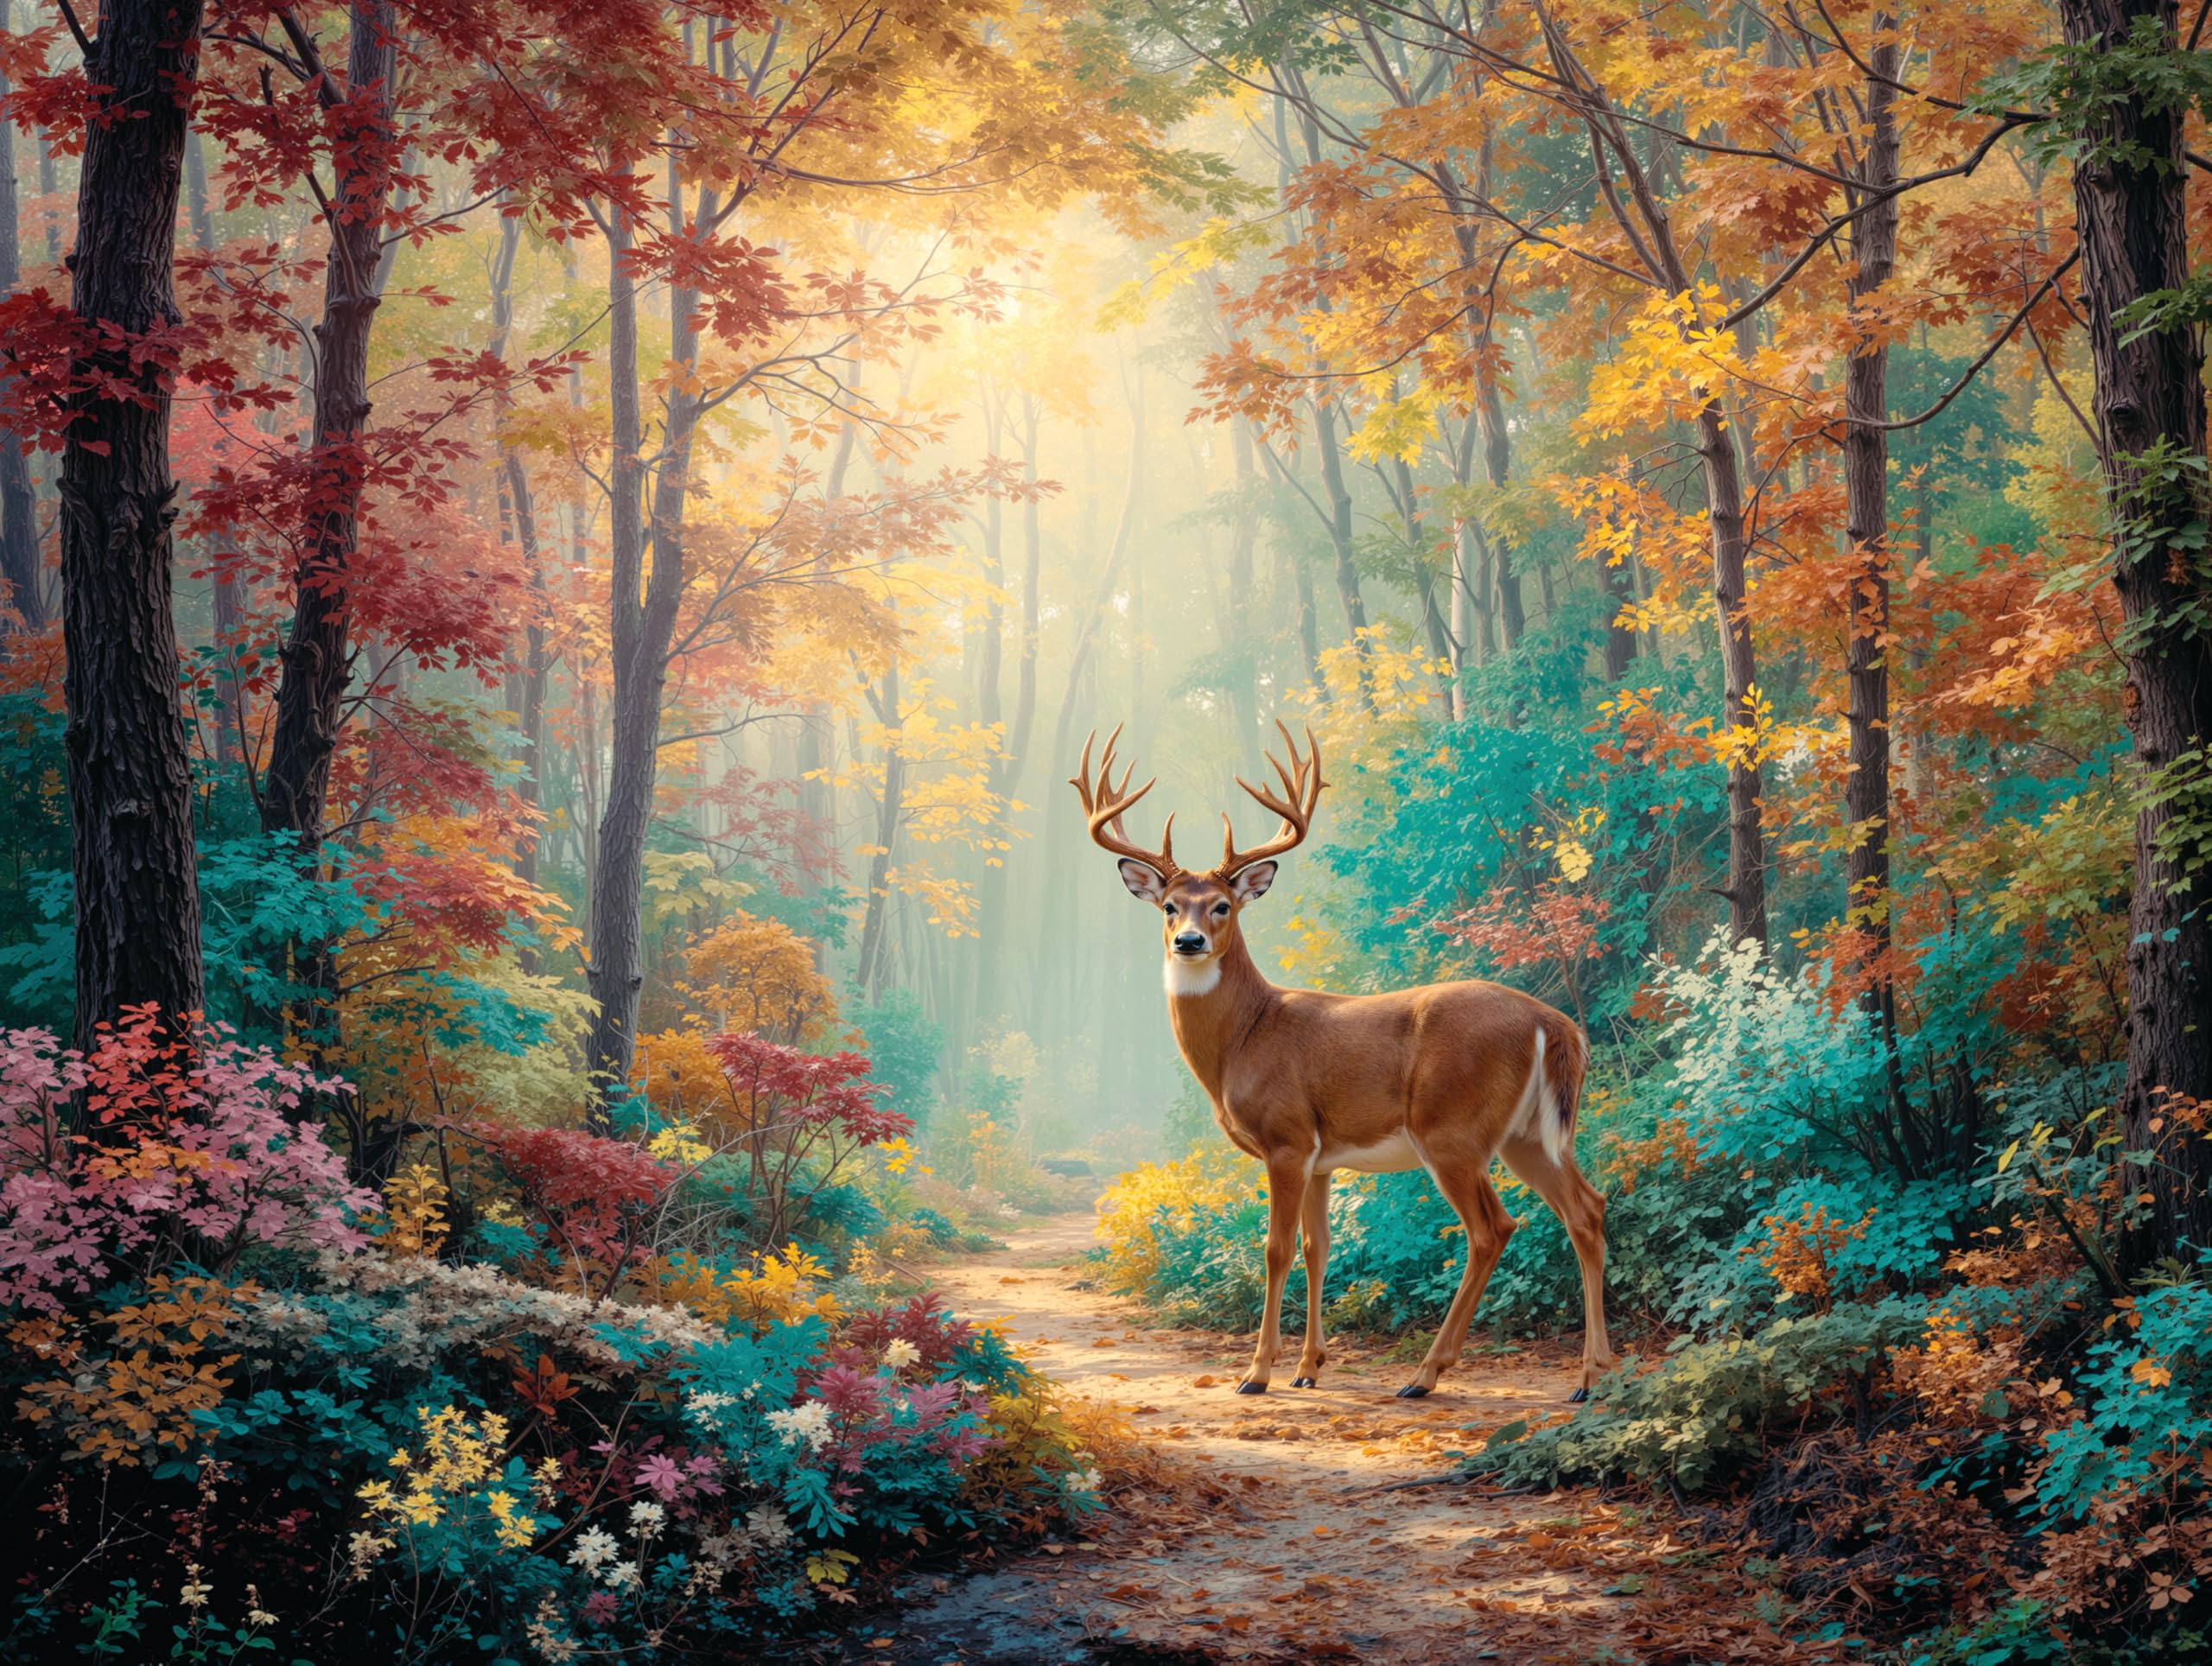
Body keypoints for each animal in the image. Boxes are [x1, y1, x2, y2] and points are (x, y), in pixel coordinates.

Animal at [1072, 723, 1617, 1402]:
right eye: (1169, 906)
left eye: (1222, 905)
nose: (1189, 942)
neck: (1244, 1039)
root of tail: (1556, 1023)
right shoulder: (1321, 1157)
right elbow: (1318, 1247)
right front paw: (1309, 1366)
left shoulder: (1285, 1137)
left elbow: (1276, 1248)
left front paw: (1257, 1372)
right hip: (1529, 1134)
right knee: (1586, 1209)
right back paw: (1592, 1376)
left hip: (1453, 1129)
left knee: (1492, 1228)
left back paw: (1426, 1374)